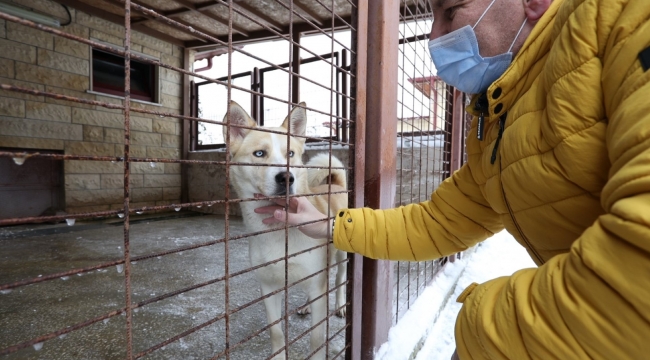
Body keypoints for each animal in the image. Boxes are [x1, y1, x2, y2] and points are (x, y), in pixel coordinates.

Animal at [223, 100, 346, 358]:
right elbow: (276, 332)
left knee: (339, 280)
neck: (278, 231)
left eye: (290, 154)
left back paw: (340, 305)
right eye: (260, 154)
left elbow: (317, 337)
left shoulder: (318, 283)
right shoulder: (269, 286)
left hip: (341, 256)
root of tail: (334, 183)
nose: (286, 178)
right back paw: (306, 306)